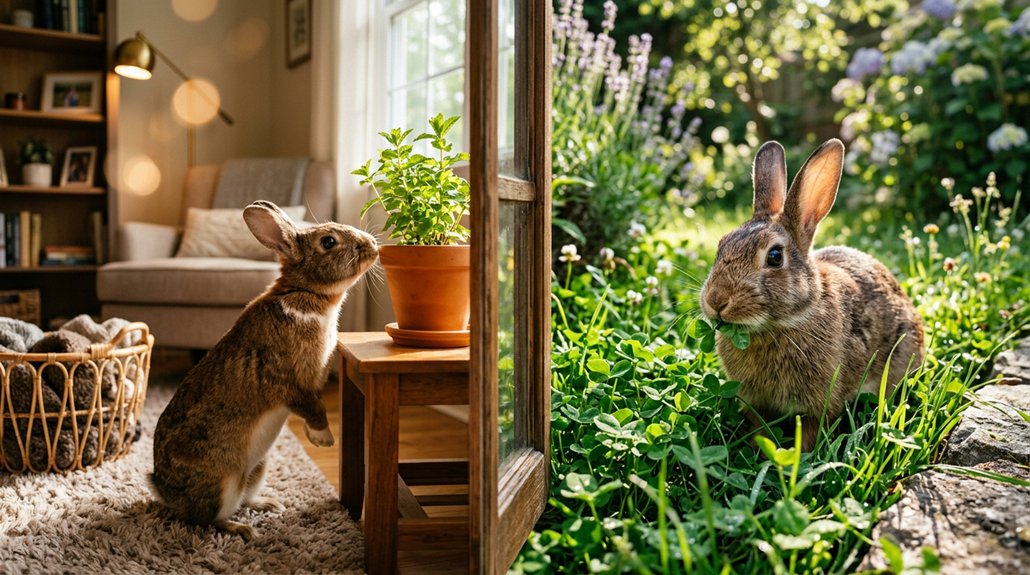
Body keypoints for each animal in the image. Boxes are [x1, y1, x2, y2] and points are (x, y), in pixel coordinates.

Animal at [150, 200, 378, 540]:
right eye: (328, 242)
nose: (374, 245)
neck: (306, 292)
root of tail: (164, 491)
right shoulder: (291, 380)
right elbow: (312, 408)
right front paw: (324, 440)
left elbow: (312, 407)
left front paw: (313, 437)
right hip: (221, 481)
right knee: (203, 519)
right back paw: (243, 530)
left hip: (258, 468)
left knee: (243, 499)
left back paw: (269, 505)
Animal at [699, 139, 924, 451]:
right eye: (721, 245)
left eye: (774, 256)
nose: (716, 301)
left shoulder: (819, 404)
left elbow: (809, 433)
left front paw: (794, 455)